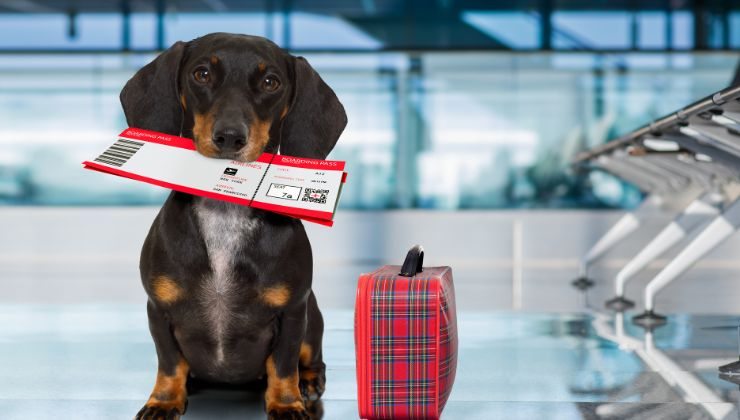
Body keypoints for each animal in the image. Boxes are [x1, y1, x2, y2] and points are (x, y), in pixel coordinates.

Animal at [122, 33, 350, 420]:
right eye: (201, 74)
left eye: (271, 82)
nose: (229, 137)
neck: (224, 211)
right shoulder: (158, 308)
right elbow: (169, 362)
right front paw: (163, 400)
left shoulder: (293, 311)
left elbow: (283, 364)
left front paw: (286, 403)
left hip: (313, 316)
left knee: (310, 359)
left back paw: (308, 383)